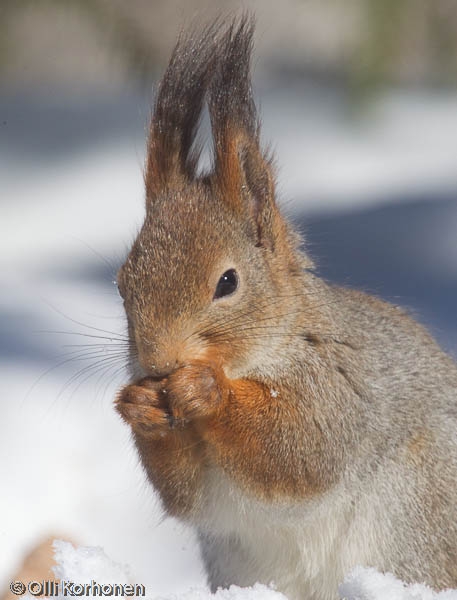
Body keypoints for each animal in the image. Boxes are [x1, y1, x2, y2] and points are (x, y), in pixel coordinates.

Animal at [116, 14, 456, 600]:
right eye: (122, 280)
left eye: (227, 282)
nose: (158, 362)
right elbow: (183, 493)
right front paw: (140, 406)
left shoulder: (340, 386)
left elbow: (298, 450)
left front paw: (205, 390)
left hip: (415, 519)